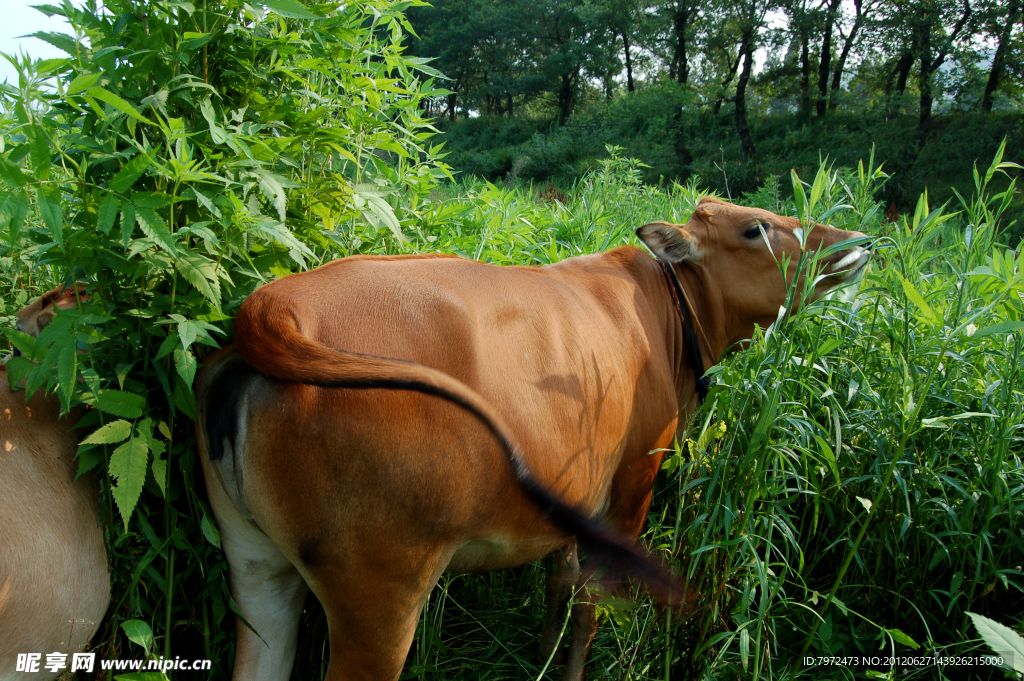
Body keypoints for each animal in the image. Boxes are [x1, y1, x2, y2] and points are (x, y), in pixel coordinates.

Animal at [195, 193, 868, 675]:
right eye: (756, 228)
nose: (859, 240)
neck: (666, 318)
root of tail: (274, 305)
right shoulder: (632, 482)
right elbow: (591, 603)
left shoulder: (576, 494)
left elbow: (559, 584)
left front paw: (541, 659)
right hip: (382, 589)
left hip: (255, 564)